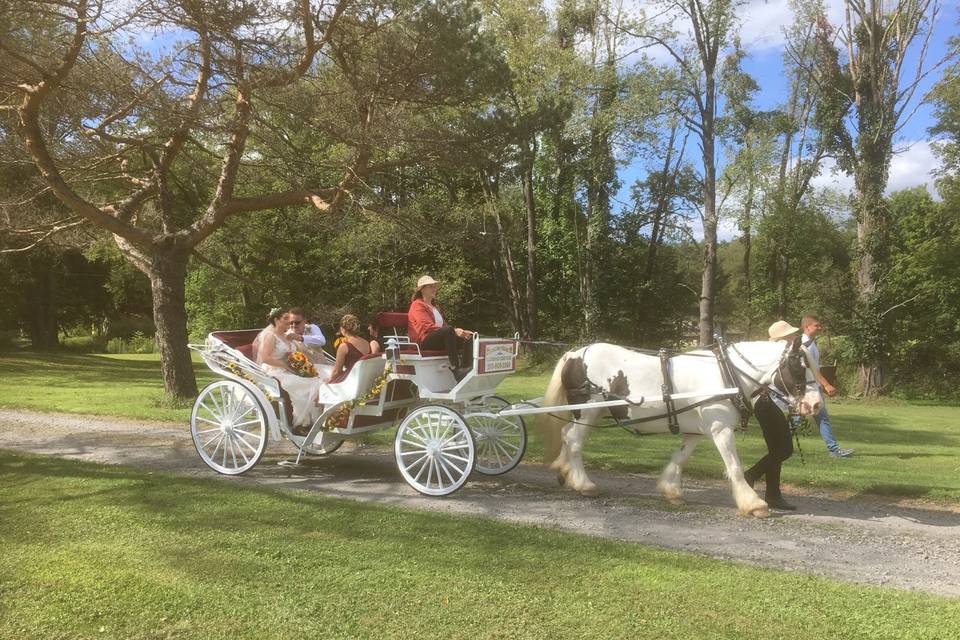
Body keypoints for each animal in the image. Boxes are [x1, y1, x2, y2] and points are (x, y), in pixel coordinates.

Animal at [540, 338, 824, 516]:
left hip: (594, 412)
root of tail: (574, 354)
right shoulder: (720, 429)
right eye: (799, 367)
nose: (815, 404)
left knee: (568, 436)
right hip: (588, 408)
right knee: (574, 440)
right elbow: (734, 467)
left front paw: (671, 491)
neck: (727, 373)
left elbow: (680, 458)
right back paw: (584, 484)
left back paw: (564, 471)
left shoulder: (696, 431)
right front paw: (753, 503)